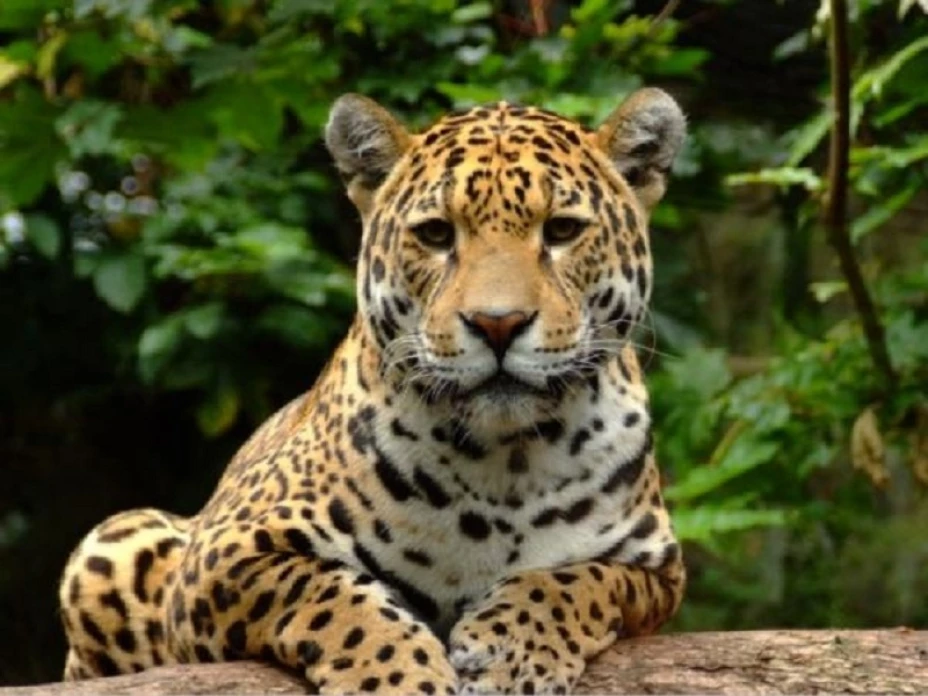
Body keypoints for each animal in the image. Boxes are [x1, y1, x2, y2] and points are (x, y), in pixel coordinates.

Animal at [58, 86, 687, 695]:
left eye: (561, 230)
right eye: (436, 234)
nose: (497, 324)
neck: (505, 462)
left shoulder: (658, 571)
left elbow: (579, 579)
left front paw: (515, 653)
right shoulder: (220, 558)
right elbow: (330, 596)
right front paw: (398, 676)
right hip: (117, 540)